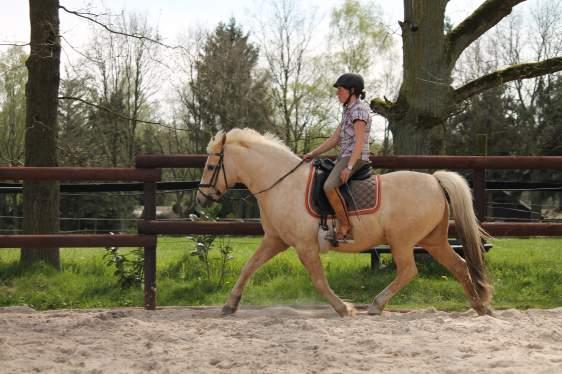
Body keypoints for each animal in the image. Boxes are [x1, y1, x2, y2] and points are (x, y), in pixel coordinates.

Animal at [196, 128, 490, 316]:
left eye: (210, 167)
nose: (201, 198)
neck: (282, 183)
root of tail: (435, 180)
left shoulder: (304, 246)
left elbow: (318, 280)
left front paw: (344, 308)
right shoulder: (275, 241)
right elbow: (249, 267)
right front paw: (230, 305)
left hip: (402, 241)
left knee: (409, 270)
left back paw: (376, 305)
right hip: (433, 240)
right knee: (459, 266)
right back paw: (480, 306)